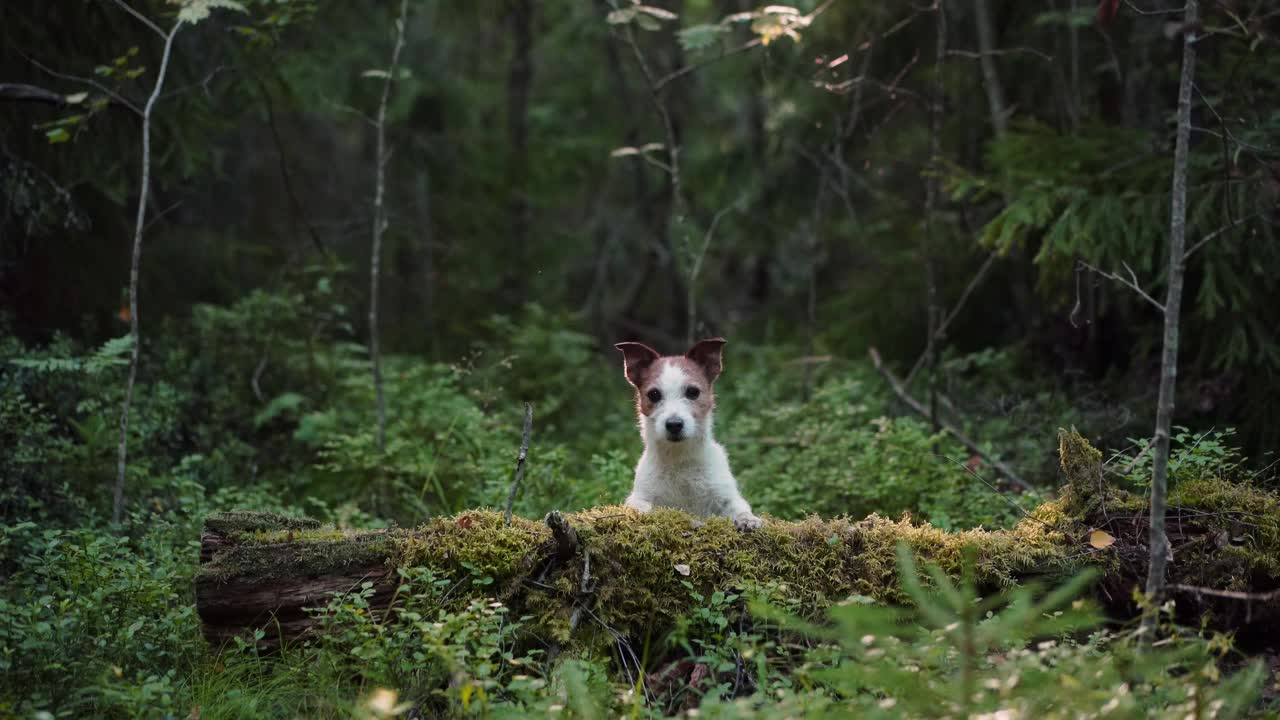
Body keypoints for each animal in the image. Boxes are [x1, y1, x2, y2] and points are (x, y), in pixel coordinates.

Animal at [616, 335, 762, 527]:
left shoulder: (727, 497)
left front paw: (747, 519)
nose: (674, 424)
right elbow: (642, 507)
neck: (680, 460)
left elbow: (739, 507)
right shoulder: (640, 497)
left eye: (693, 392)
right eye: (654, 394)